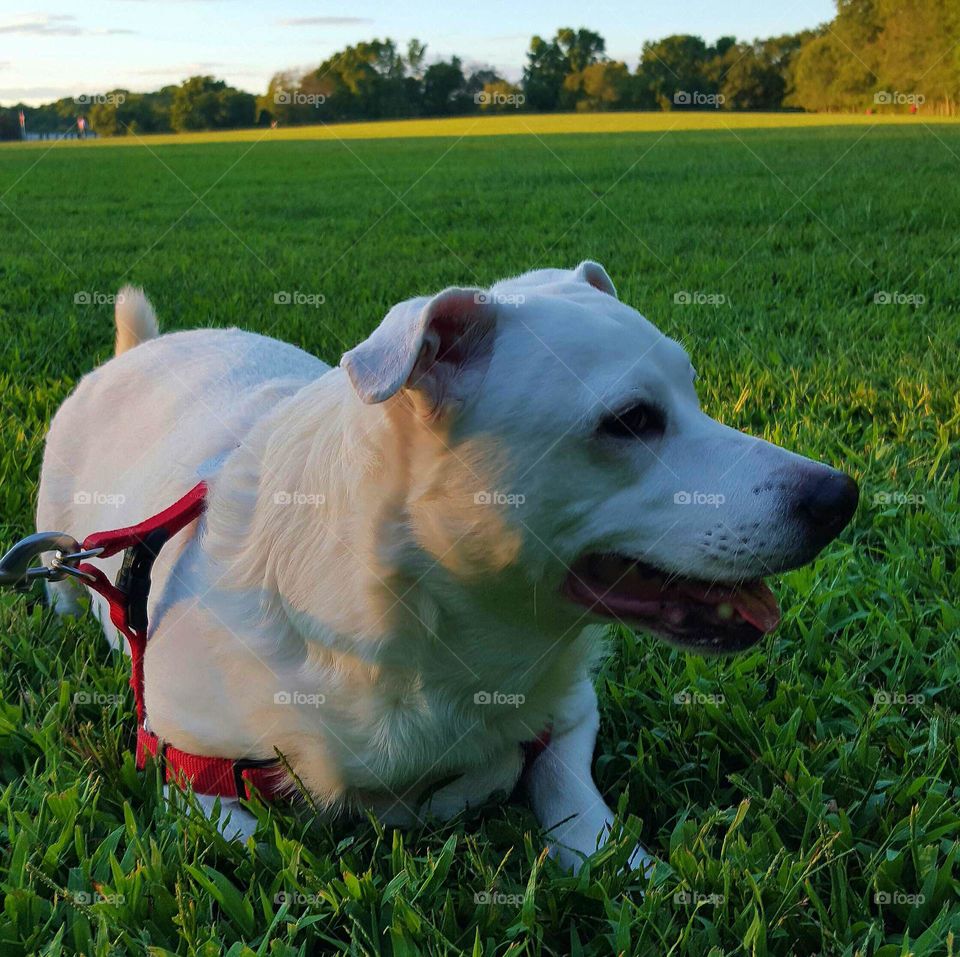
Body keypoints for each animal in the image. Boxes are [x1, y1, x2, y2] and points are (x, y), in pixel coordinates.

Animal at [35, 260, 856, 868]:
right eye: (629, 421)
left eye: (693, 391)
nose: (840, 496)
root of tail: (140, 347)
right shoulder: (184, 759)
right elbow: (248, 845)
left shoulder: (572, 711)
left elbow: (571, 795)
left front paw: (623, 864)